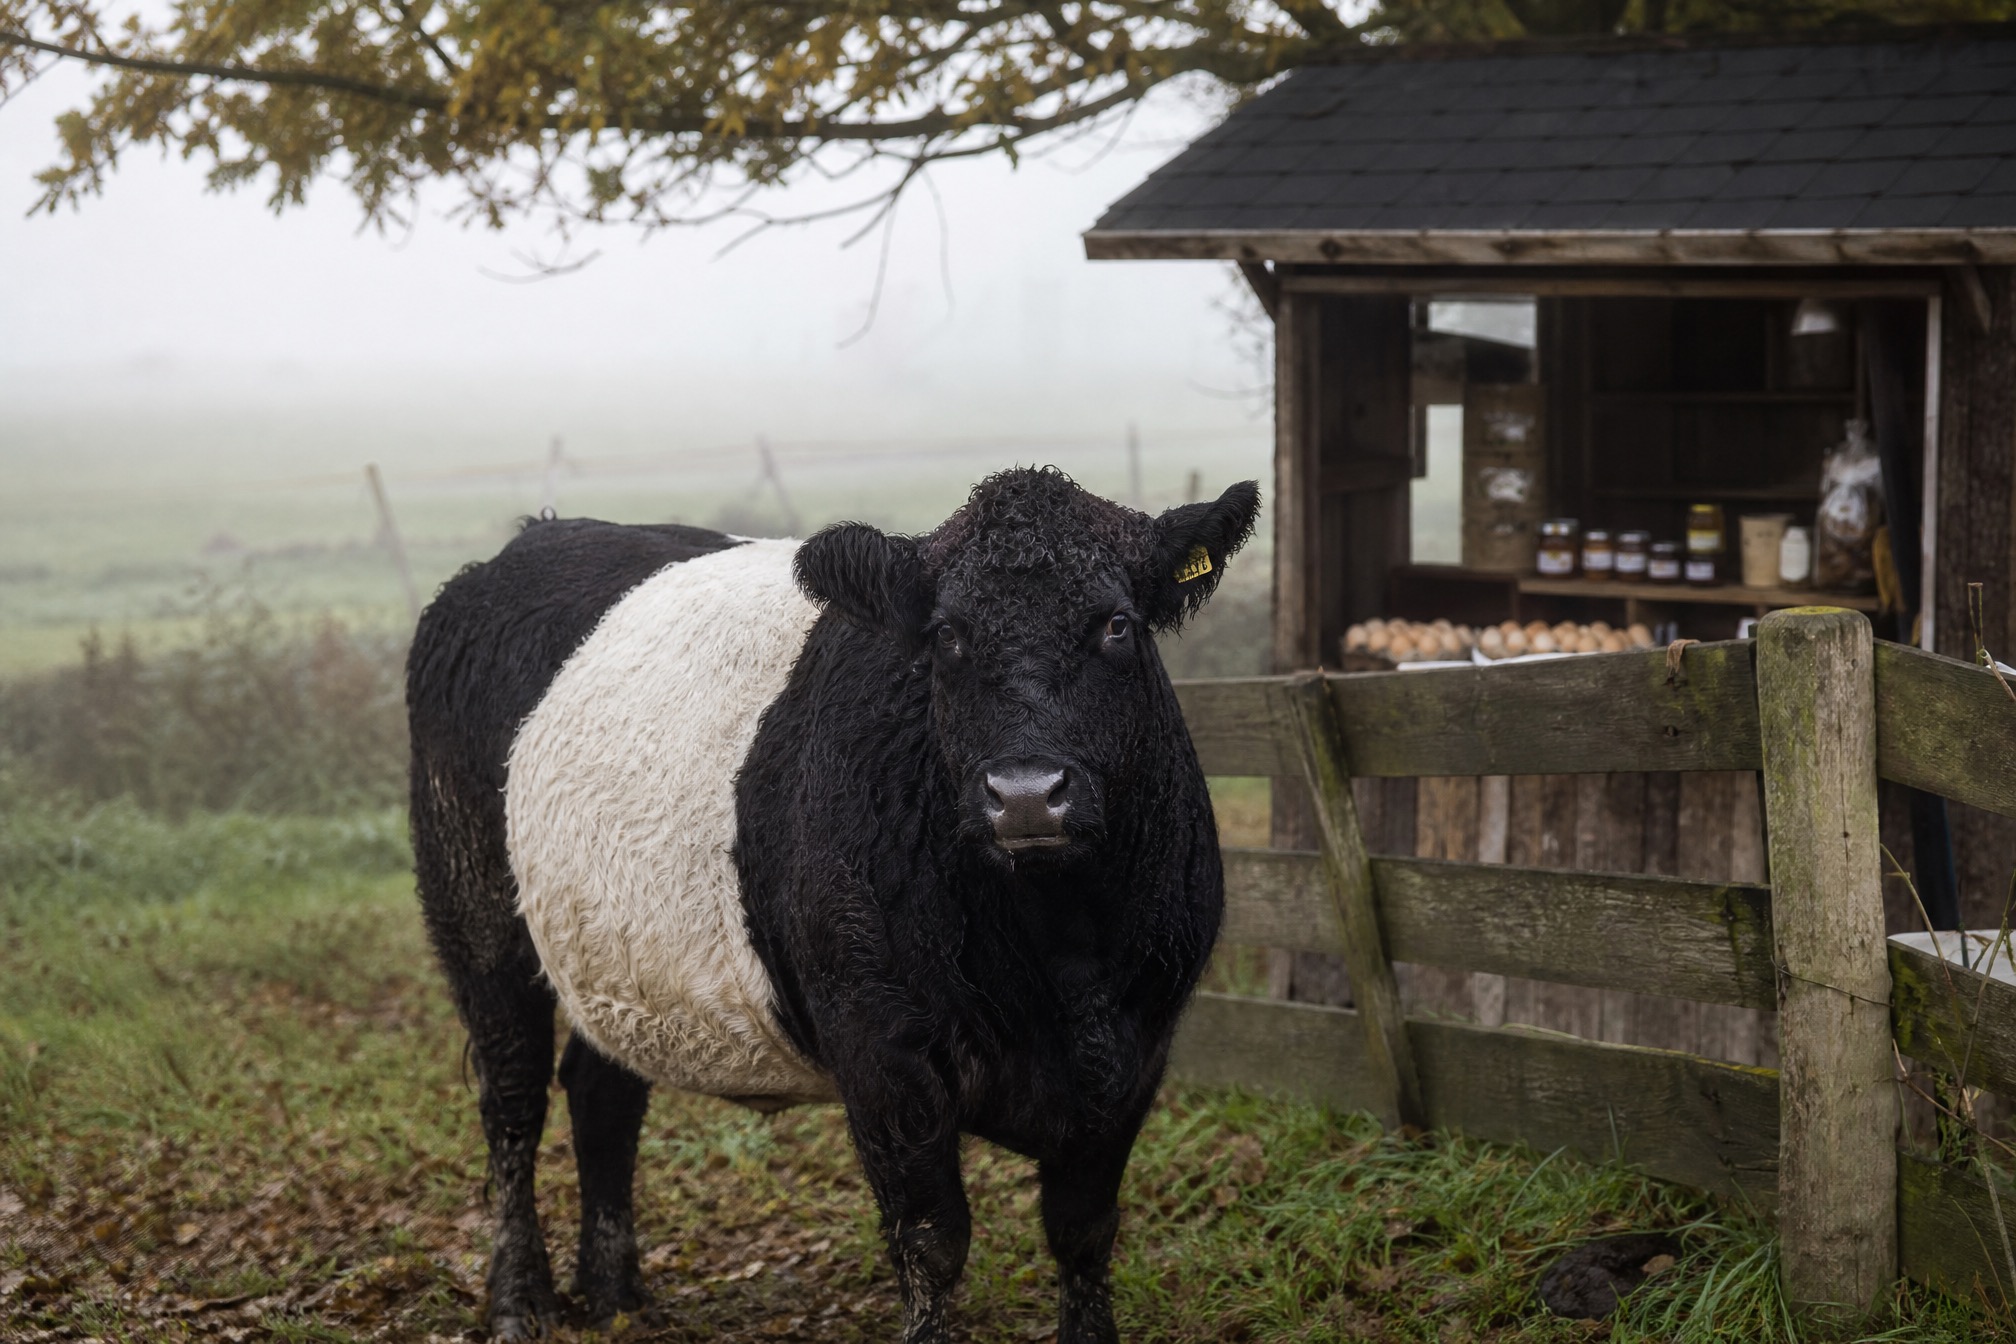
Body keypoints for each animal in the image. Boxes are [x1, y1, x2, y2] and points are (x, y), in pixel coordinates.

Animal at [406, 466, 1260, 1343]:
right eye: (946, 634)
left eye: (1118, 624)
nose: (1025, 795)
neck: (1061, 957)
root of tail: (538, 533)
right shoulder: (881, 1045)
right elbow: (931, 1242)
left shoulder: (1136, 1046)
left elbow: (1083, 1232)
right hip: (475, 909)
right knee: (511, 1102)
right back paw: (520, 1302)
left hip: (611, 950)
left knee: (602, 1092)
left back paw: (614, 1292)